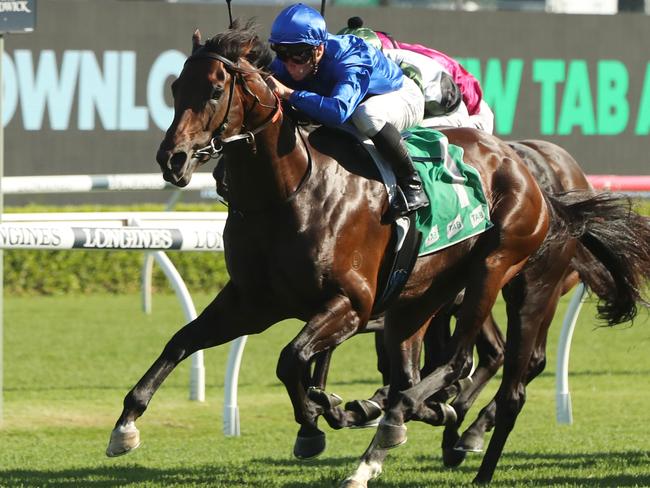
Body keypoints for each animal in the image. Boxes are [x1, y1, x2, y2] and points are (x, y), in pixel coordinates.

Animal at [102, 21, 644, 484]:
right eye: (176, 88)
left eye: (215, 91)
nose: (172, 159)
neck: (289, 192)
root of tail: (532, 174)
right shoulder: (253, 301)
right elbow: (182, 341)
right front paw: (126, 425)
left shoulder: (351, 303)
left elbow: (290, 358)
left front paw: (315, 423)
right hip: (422, 298)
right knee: (438, 367)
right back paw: (407, 427)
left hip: (507, 275)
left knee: (477, 364)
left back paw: (436, 433)